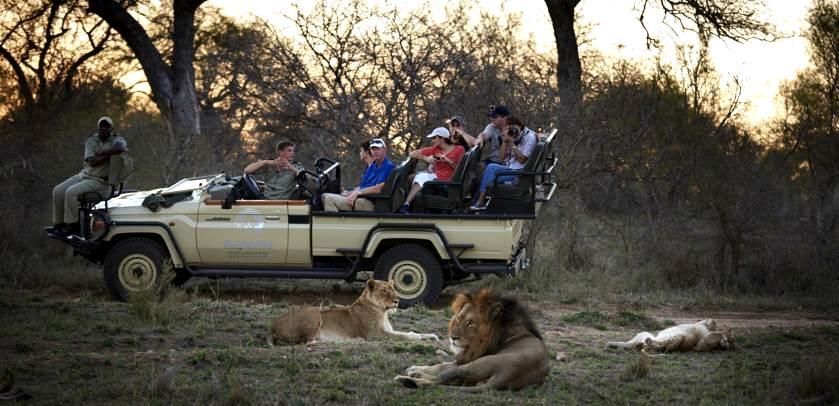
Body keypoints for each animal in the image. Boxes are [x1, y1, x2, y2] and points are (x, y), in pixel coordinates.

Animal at [270, 280, 440, 346]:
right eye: (384, 291)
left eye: (393, 289)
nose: (397, 301)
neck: (383, 312)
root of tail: (272, 325)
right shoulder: (375, 334)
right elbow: (403, 335)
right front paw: (416, 337)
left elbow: (409, 331)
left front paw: (431, 336)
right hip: (315, 313)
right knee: (305, 341)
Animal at [394, 288, 552, 390]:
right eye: (458, 318)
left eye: (471, 323)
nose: (453, 338)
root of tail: (508, 374)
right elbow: (443, 363)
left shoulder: (469, 358)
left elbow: (441, 366)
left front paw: (414, 368)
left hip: (474, 366)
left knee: (441, 378)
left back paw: (408, 378)